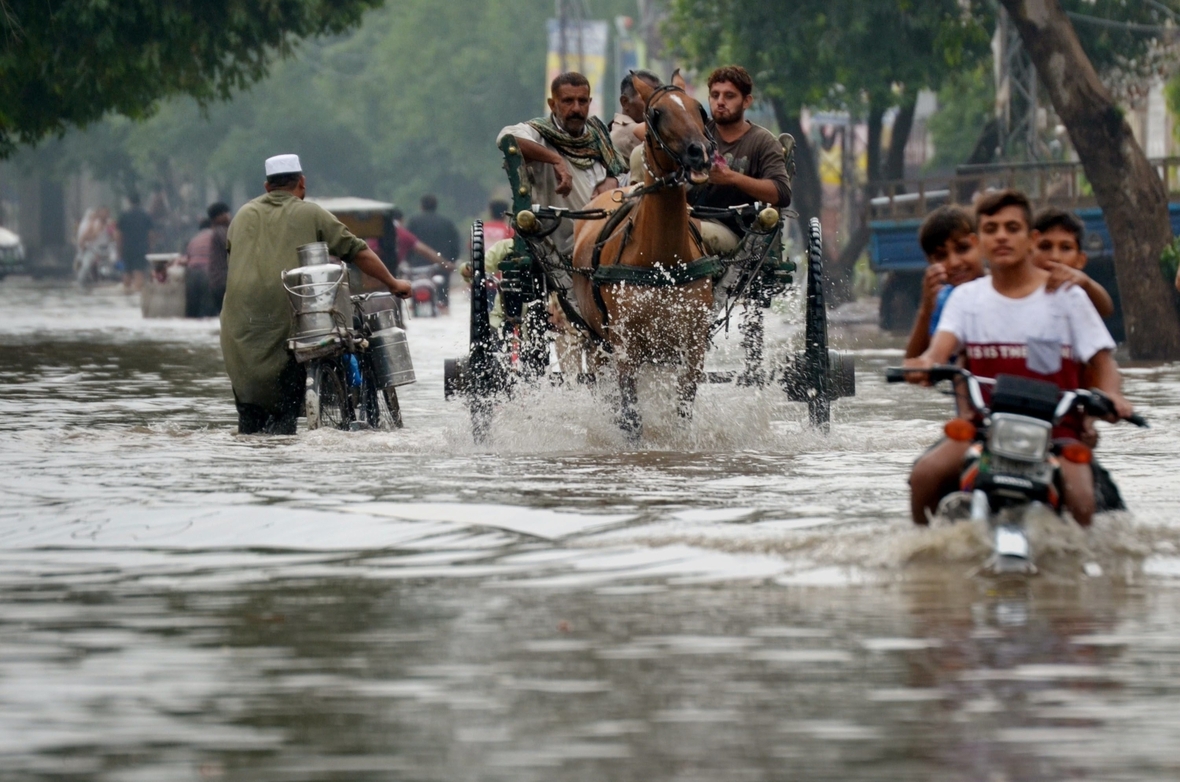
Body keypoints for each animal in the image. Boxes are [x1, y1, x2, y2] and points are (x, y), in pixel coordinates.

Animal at [568, 76, 707, 436]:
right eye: (657, 113)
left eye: (699, 109)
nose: (700, 151)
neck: (662, 261)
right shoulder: (625, 346)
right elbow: (631, 416)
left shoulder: (693, 344)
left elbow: (683, 410)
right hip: (598, 340)